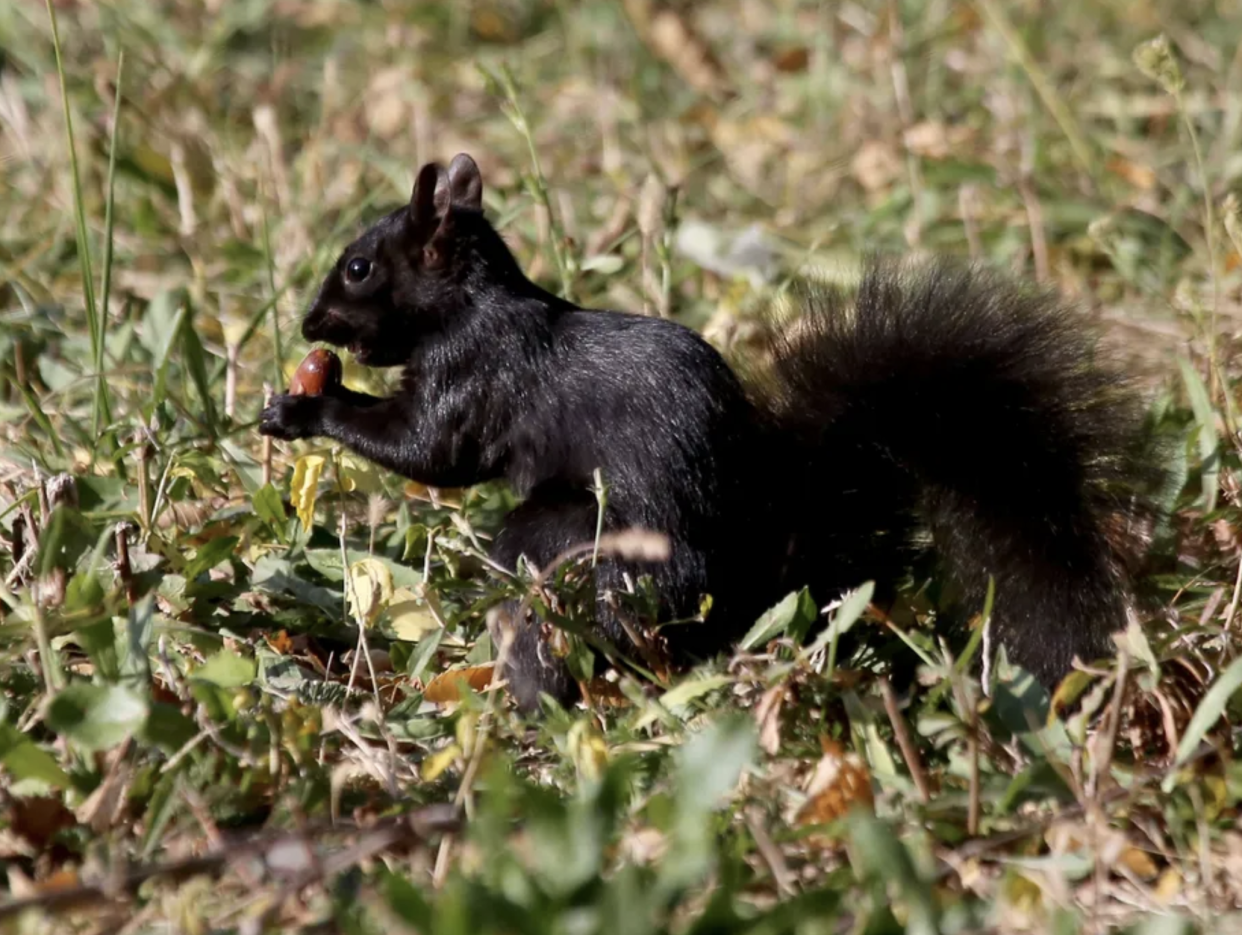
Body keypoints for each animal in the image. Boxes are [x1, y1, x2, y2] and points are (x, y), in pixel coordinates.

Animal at [257, 151, 1157, 705]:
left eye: (360, 267)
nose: (308, 324)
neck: (473, 305)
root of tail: (757, 571)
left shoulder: (476, 377)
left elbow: (431, 450)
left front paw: (306, 407)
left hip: (599, 548)